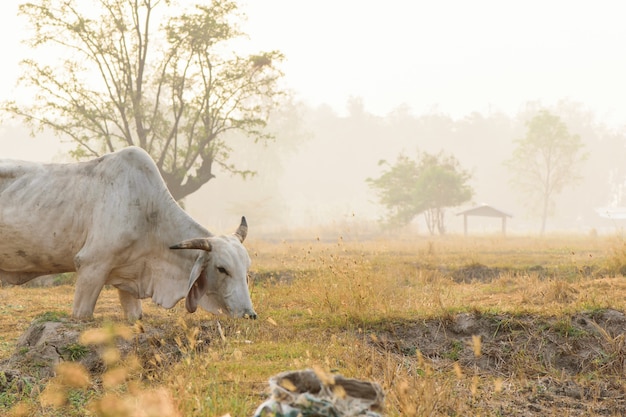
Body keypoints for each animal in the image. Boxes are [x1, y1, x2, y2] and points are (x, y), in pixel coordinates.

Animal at [0, 146, 256, 318]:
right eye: (222, 269)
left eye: (246, 269)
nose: (249, 314)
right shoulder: (91, 266)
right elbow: (81, 315)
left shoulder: (129, 278)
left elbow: (135, 316)